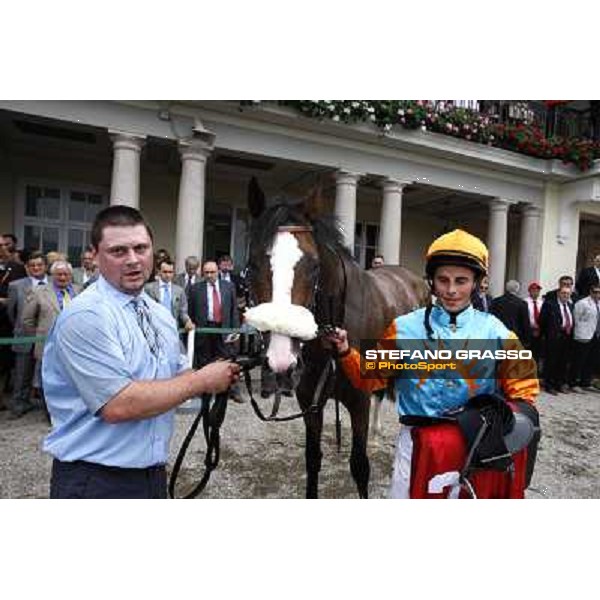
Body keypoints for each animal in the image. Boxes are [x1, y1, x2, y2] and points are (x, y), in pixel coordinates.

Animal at [241, 177, 428, 496]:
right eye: (253, 265)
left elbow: (360, 466)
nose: (281, 362)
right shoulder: (308, 401)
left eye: (314, 266)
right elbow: (312, 459)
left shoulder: (359, 401)